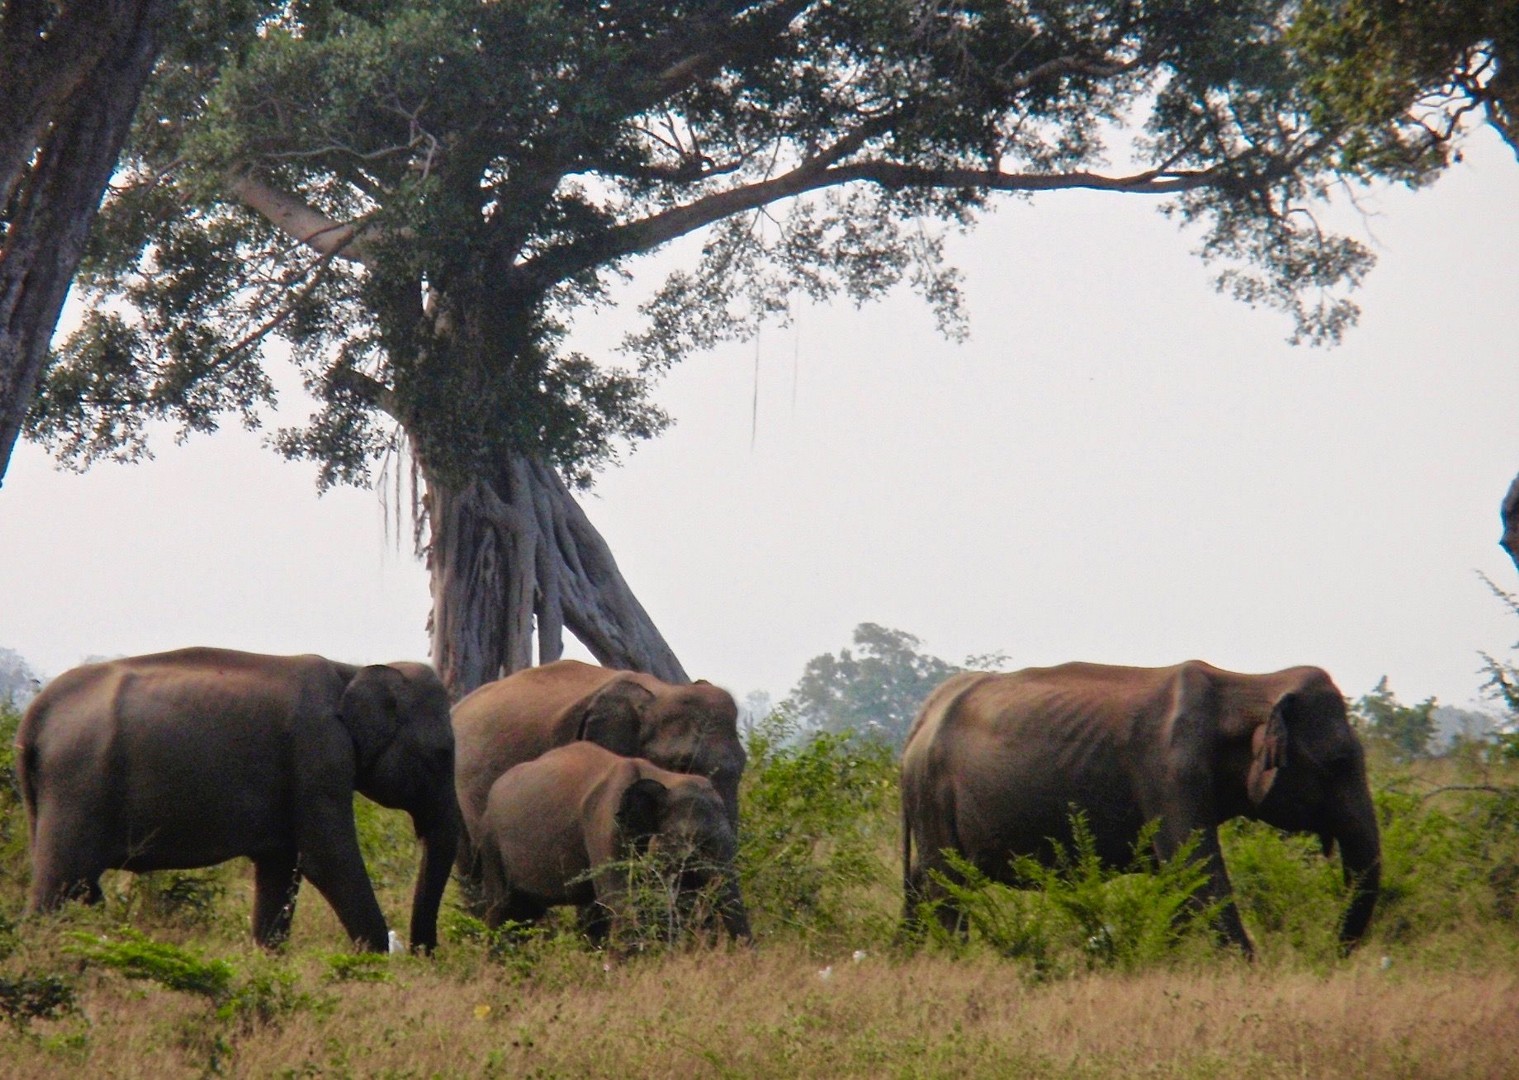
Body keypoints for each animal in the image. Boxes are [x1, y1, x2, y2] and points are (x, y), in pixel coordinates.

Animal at [16, 647, 455, 947]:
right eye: (441, 754)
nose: (423, 952)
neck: (350, 670)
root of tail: (34, 717)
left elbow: (282, 868)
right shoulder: (318, 757)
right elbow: (328, 860)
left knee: (79, 887)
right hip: (78, 785)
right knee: (59, 888)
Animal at [476, 744, 750, 947]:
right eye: (695, 841)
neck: (663, 778)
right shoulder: (605, 824)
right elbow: (618, 899)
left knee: (526, 913)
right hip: (490, 840)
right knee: (502, 908)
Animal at [893, 662, 1385, 960]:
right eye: (1339, 763)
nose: (1328, 953)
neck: (1247, 684)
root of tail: (922, 717)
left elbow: (1180, 880)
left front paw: (1149, 955)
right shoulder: (1171, 774)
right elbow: (1197, 870)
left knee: (921, 882)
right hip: (933, 790)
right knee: (945, 884)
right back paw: (955, 961)